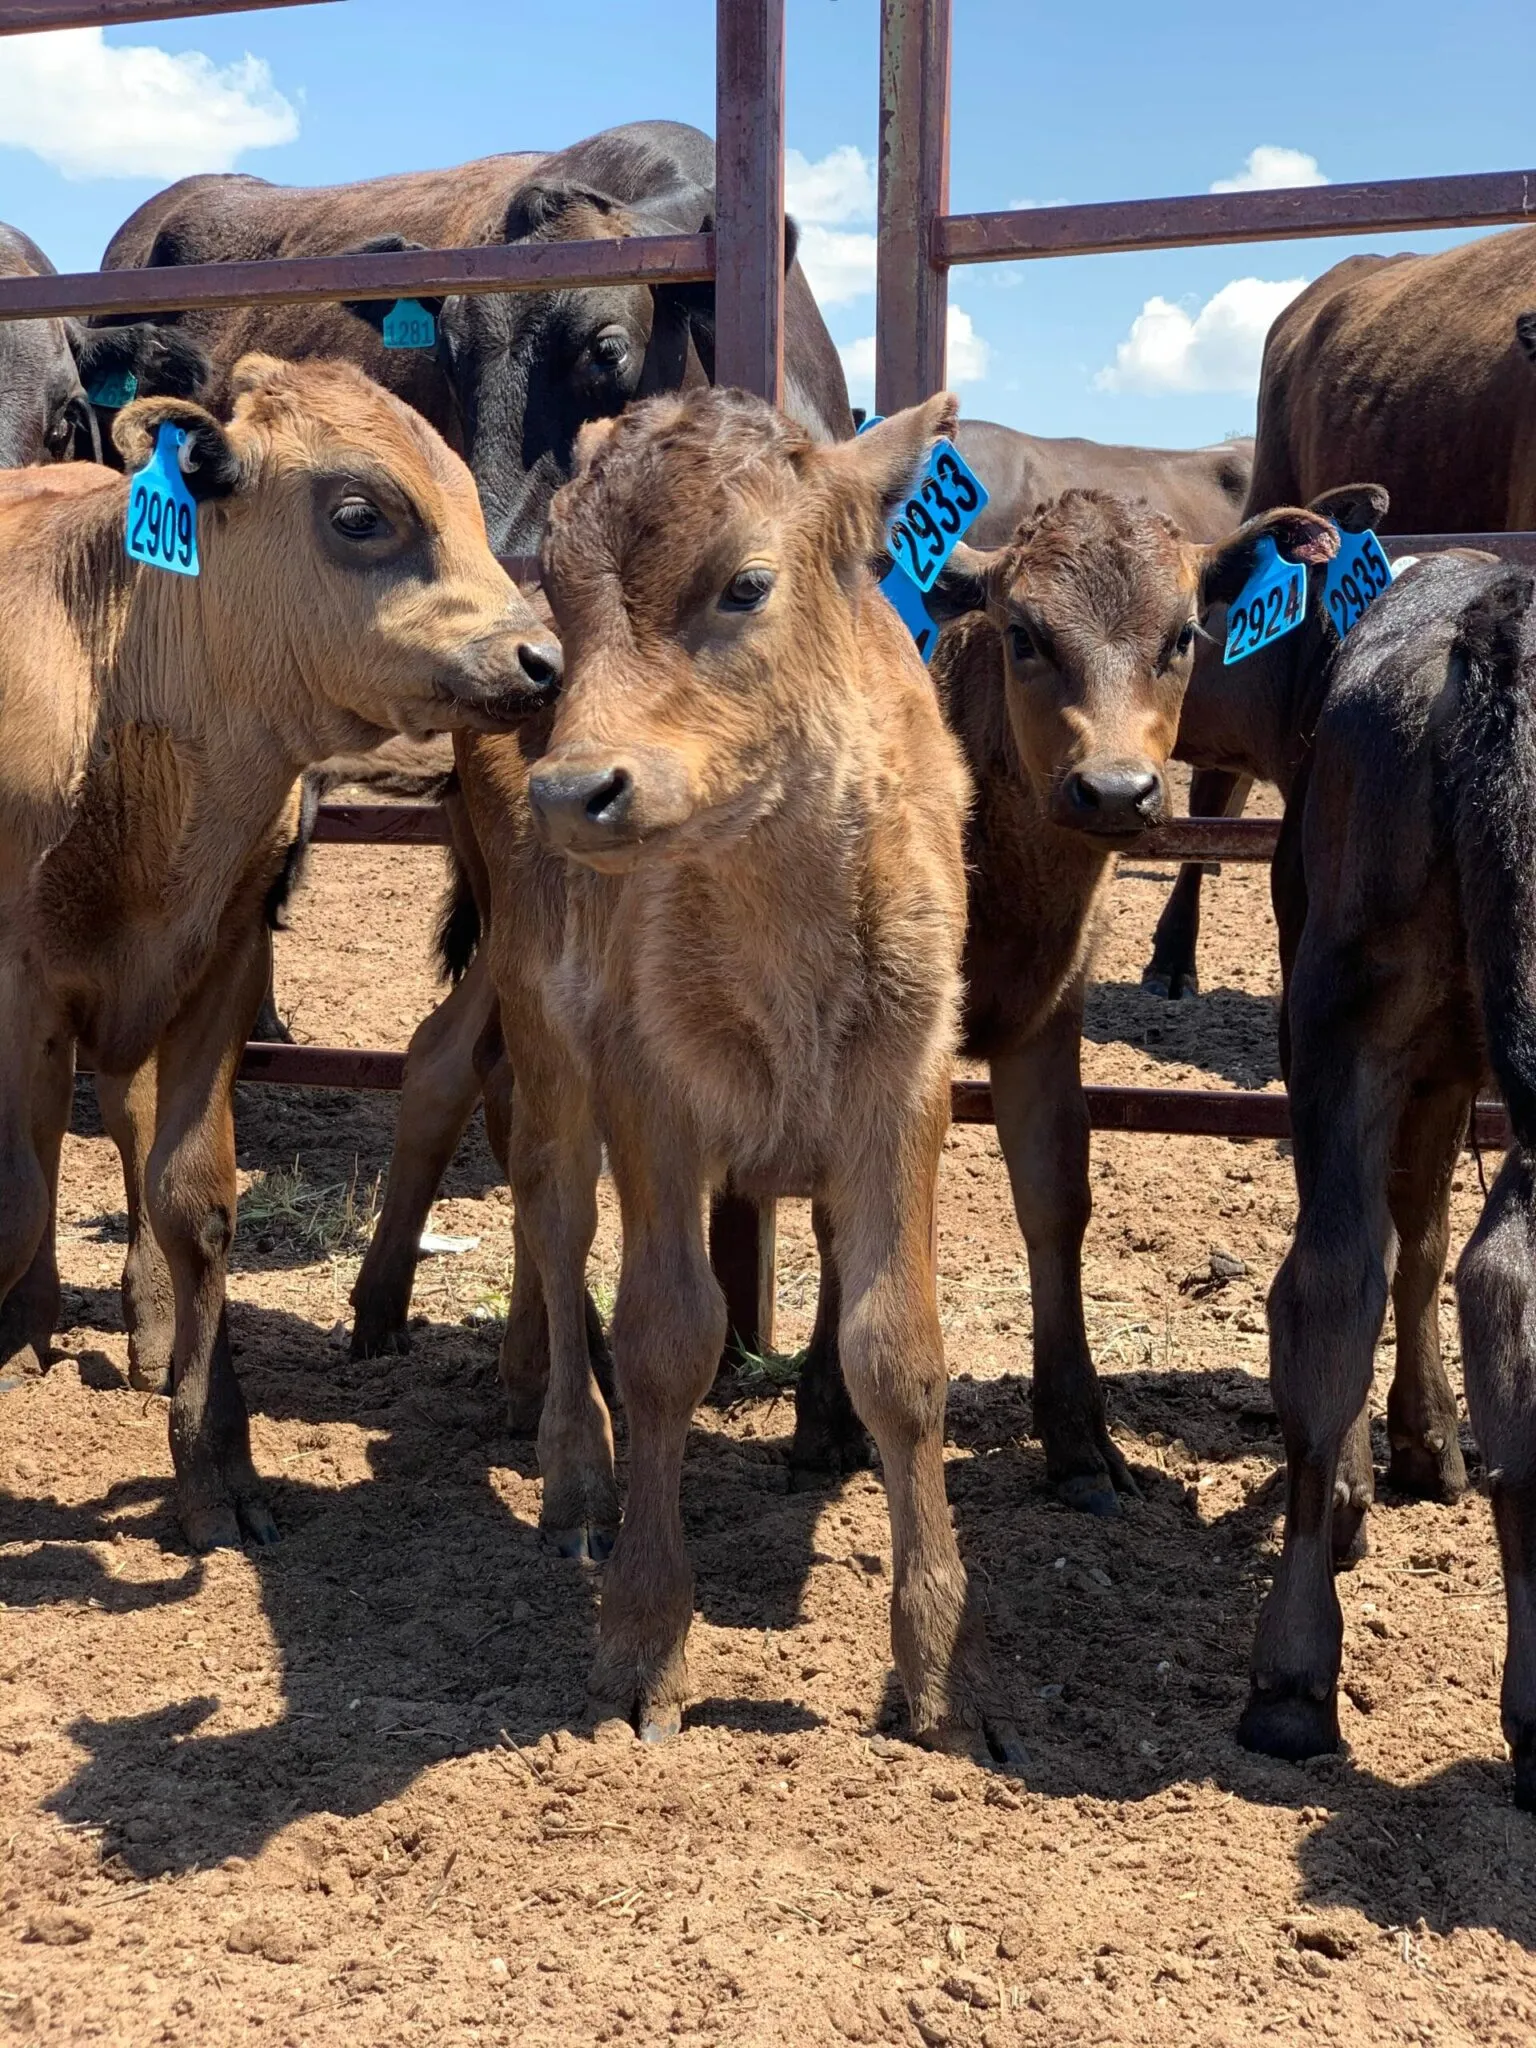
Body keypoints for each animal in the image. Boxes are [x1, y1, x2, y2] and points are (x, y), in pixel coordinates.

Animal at [0, 355, 564, 1553]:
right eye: (359, 514)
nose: (540, 658)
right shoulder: (17, 980)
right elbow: (15, 1195)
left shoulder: (220, 961)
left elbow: (193, 1198)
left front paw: (216, 1461)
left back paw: (142, 1332)